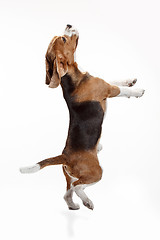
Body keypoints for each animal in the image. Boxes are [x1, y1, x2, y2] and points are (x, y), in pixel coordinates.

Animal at [20, 24, 145, 210]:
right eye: (63, 39)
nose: (69, 24)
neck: (71, 79)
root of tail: (65, 156)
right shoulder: (109, 90)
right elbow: (121, 89)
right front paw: (136, 91)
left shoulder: (105, 84)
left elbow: (116, 80)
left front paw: (130, 81)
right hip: (96, 172)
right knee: (77, 186)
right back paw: (87, 201)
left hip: (70, 176)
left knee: (68, 192)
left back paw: (74, 204)